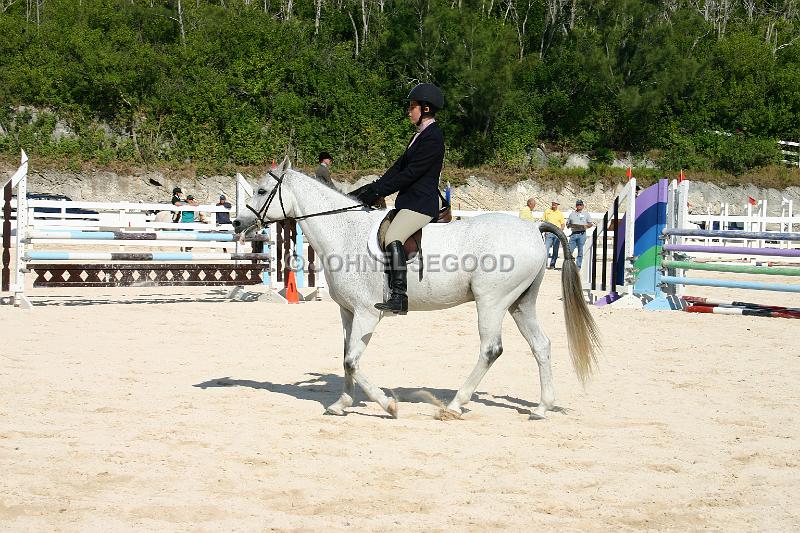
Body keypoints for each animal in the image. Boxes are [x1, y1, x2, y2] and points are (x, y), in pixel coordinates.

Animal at [231, 159, 600, 420]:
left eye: (262, 191)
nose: (236, 223)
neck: (344, 230)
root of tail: (531, 228)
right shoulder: (348, 312)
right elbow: (346, 358)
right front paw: (342, 403)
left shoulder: (367, 313)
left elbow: (353, 360)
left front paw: (387, 405)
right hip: (520, 302)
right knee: (541, 345)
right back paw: (541, 408)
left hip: (492, 301)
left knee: (490, 349)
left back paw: (455, 405)